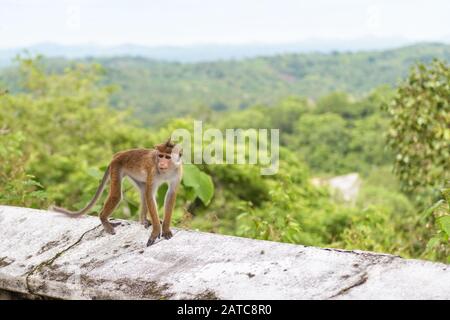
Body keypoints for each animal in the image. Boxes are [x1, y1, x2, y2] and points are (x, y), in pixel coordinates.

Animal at [50, 139, 182, 246]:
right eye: (160, 156)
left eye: (168, 157)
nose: (162, 163)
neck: (167, 170)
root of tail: (119, 154)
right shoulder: (153, 172)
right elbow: (150, 195)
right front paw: (156, 231)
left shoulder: (178, 172)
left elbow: (170, 194)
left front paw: (165, 228)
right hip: (116, 167)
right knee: (117, 195)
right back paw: (104, 219)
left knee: (143, 190)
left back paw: (143, 220)